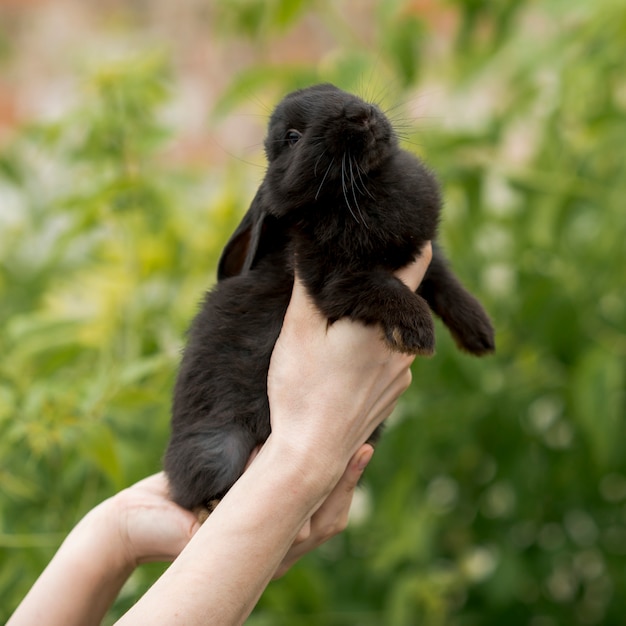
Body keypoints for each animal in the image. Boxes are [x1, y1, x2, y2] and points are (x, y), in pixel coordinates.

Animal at [163, 83, 494, 510]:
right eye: (292, 137)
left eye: (336, 90)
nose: (359, 113)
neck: (365, 185)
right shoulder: (335, 280)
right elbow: (388, 290)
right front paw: (419, 333)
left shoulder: (422, 254)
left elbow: (445, 281)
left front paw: (479, 333)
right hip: (217, 450)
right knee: (189, 490)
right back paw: (212, 505)